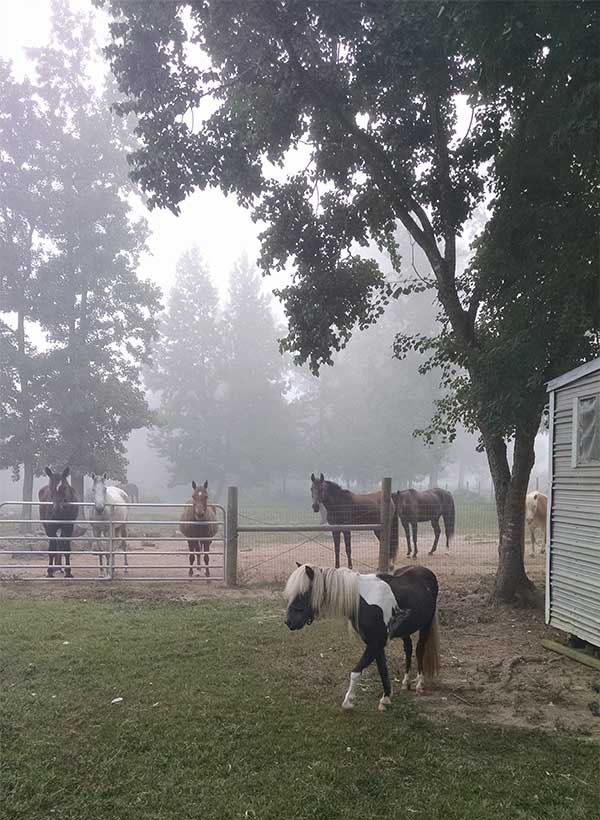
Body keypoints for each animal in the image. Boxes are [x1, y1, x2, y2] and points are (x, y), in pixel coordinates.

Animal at [284, 564, 438, 712]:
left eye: (304, 593)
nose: (289, 622)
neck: (362, 603)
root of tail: (426, 572)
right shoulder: (375, 643)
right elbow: (382, 669)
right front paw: (386, 698)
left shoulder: (376, 642)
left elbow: (356, 672)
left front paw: (348, 702)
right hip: (406, 630)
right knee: (408, 648)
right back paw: (406, 682)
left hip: (426, 625)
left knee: (419, 649)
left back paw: (419, 683)